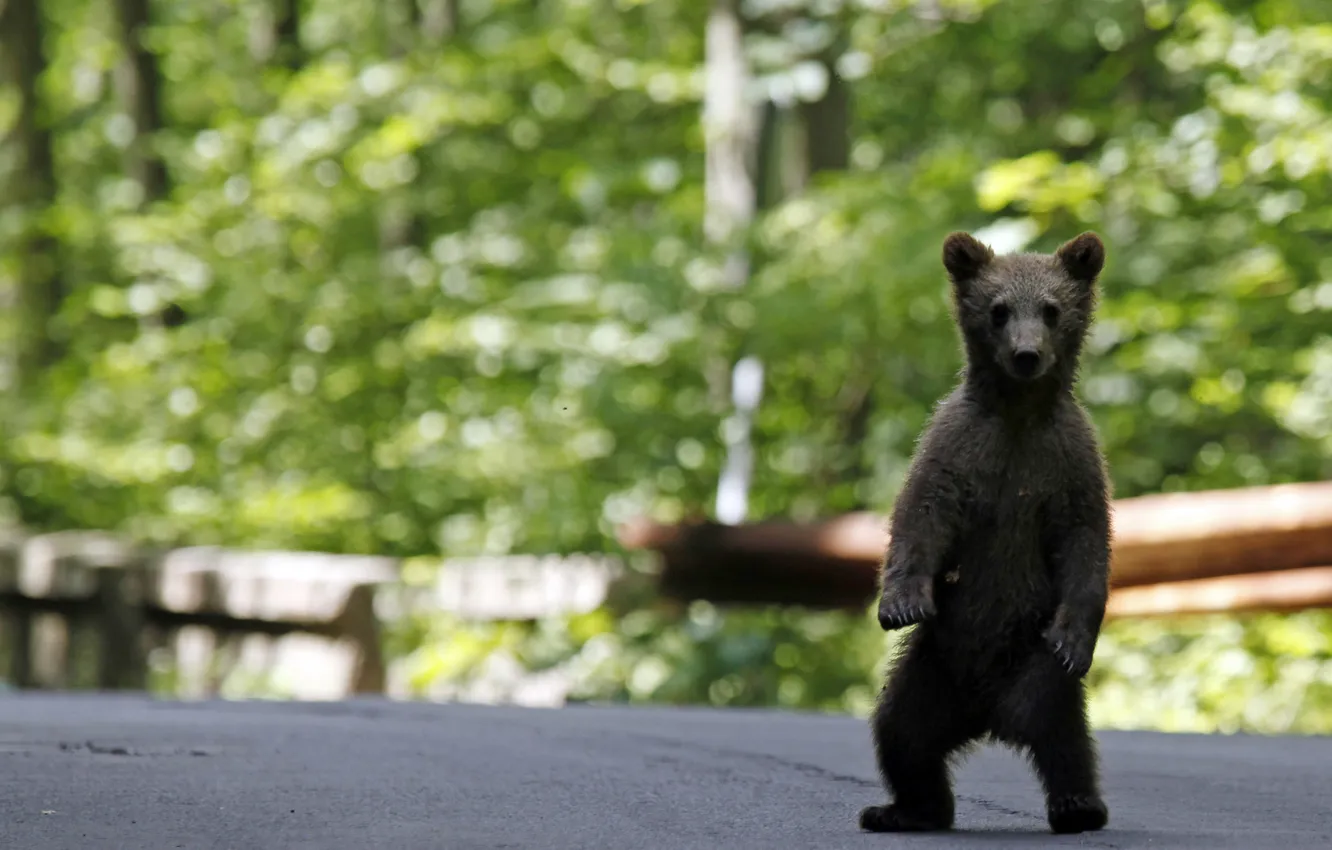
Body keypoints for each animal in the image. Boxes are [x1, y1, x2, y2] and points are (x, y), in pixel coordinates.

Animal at [858, 230, 1113, 836]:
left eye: (1051, 308)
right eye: (997, 310)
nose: (1027, 355)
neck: (1018, 414)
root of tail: (985, 716)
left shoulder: (1069, 461)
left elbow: (1086, 542)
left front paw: (1075, 636)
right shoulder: (958, 446)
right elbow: (921, 516)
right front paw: (900, 602)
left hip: (1030, 659)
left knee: (1061, 733)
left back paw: (1078, 806)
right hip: (932, 669)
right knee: (901, 733)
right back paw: (904, 808)